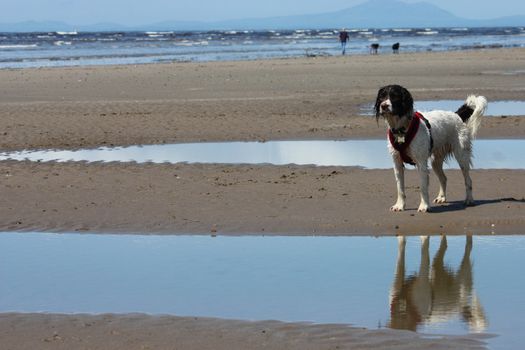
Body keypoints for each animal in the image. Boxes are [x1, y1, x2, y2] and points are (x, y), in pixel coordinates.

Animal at [372, 83, 488, 212]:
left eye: (394, 96)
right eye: (382, 97)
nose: (383, 106)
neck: (402, 130)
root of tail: (456, 115)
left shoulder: (421, 163)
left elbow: (423, 187)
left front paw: (424, 206)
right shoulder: (397, 163)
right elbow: (400, 188)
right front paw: (399, 206)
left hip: (461, 155)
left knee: (468, 180)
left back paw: (469, 200)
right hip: (435, 161)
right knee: (444, 178)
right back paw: (441, 198)